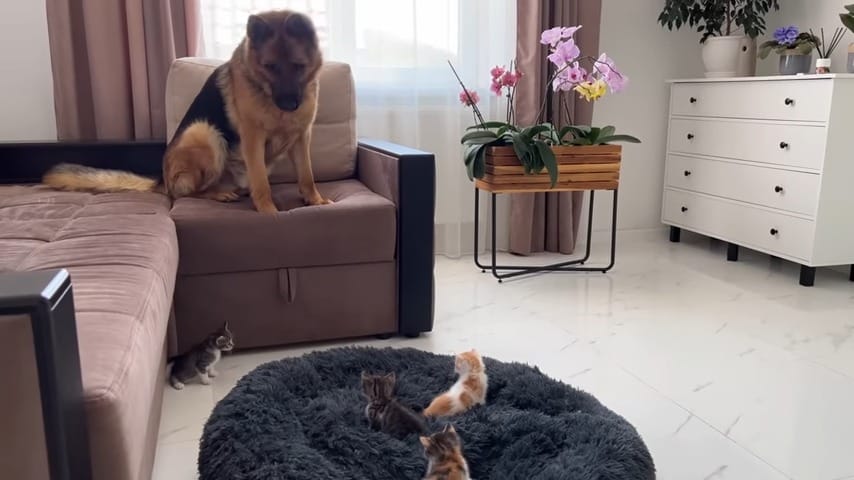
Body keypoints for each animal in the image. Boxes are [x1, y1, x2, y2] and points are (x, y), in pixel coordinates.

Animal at [42, 10, 332, 213]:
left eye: (298, 65)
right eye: (270, 66)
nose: (290, 105)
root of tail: (162, 180)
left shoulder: (301, 137)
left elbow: (307, 175)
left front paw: (314, 199)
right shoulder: (253, 139)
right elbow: (261, 182)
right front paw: (268, 210)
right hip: (204, 133)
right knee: (188, 192)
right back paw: (217, 193)